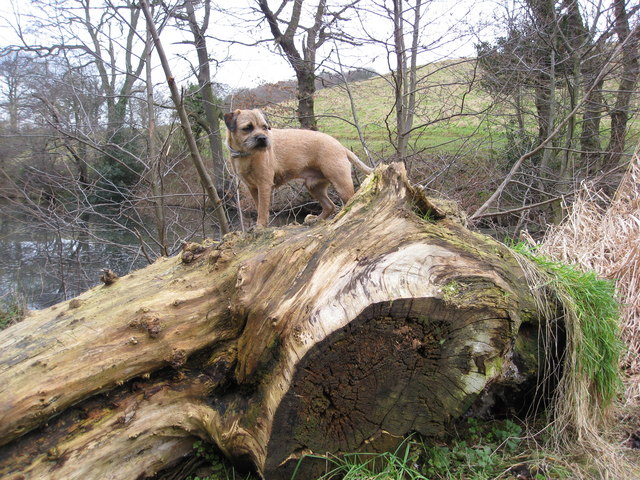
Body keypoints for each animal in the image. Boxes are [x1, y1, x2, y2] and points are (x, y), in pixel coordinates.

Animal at [226, 109, 372, 229]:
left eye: (264, 127)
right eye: (247, 128)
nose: (262, 138)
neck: (245, 155)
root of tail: (341, 147)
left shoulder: (264, 185)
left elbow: (262, 209)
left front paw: (260, 227)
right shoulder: (252, 188)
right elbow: (259, 207)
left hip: (341, 183)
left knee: (351, 201)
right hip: (313, 186)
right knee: (330, 206)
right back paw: (316, 220)